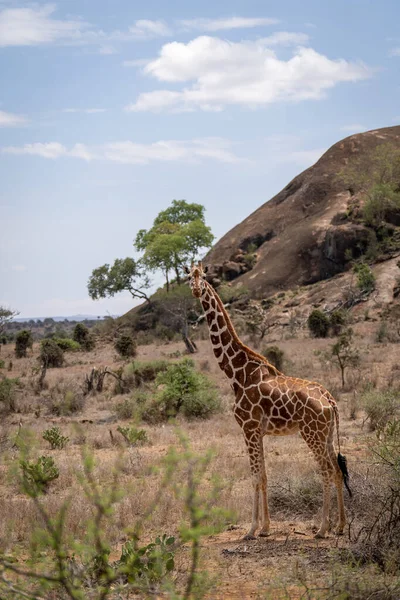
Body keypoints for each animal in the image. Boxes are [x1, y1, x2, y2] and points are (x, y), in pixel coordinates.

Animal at [184, 262, 350, 540]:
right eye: (188, 276)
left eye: (204, 276)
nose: (196, 290)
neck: (236, 373)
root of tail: (330, 400)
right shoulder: (258, 432)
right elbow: (263, 475)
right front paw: (265, 528)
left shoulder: (248, 428)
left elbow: (254, 477)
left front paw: (251, 530)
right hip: (326, 435)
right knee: (337, 470)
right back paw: (339, 526)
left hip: (311, 434)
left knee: (326, 471)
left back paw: (322, 529)